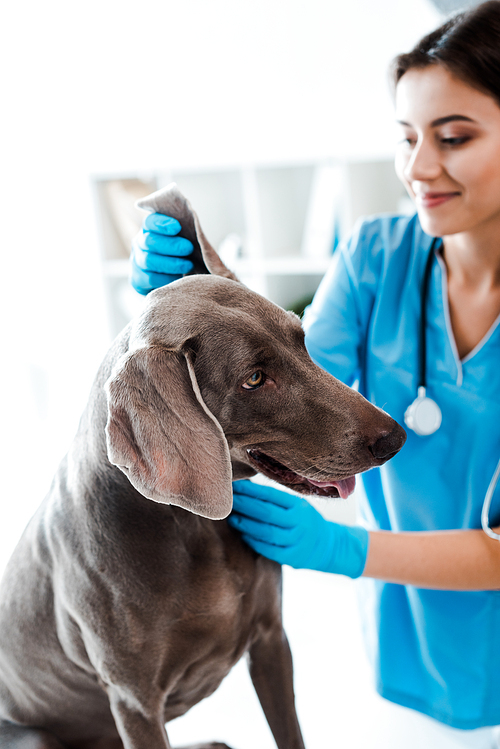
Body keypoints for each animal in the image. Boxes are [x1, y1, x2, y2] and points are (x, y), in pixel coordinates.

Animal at [0, 183, 406, 748]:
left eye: (302, 339)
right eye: (254, 378)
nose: (394, 438)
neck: (193, 527)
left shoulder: (271, 640)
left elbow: (290, 732)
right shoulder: (135, 702)